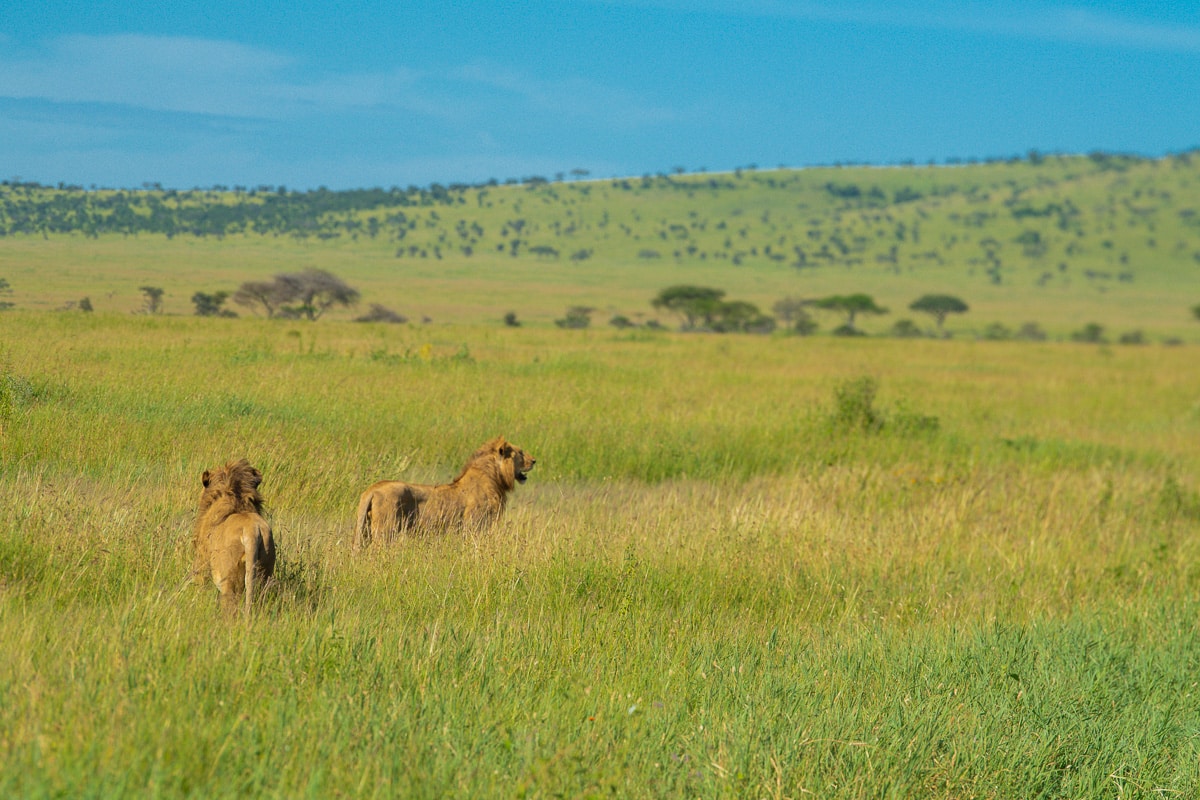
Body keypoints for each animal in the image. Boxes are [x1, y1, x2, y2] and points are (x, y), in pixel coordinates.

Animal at [352, 438, 537, 551]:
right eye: (520, 453)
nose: (534, 461)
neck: (495, 477)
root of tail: (372, 489)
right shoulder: (474, 526)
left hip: (366, 529)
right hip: (385, 531)